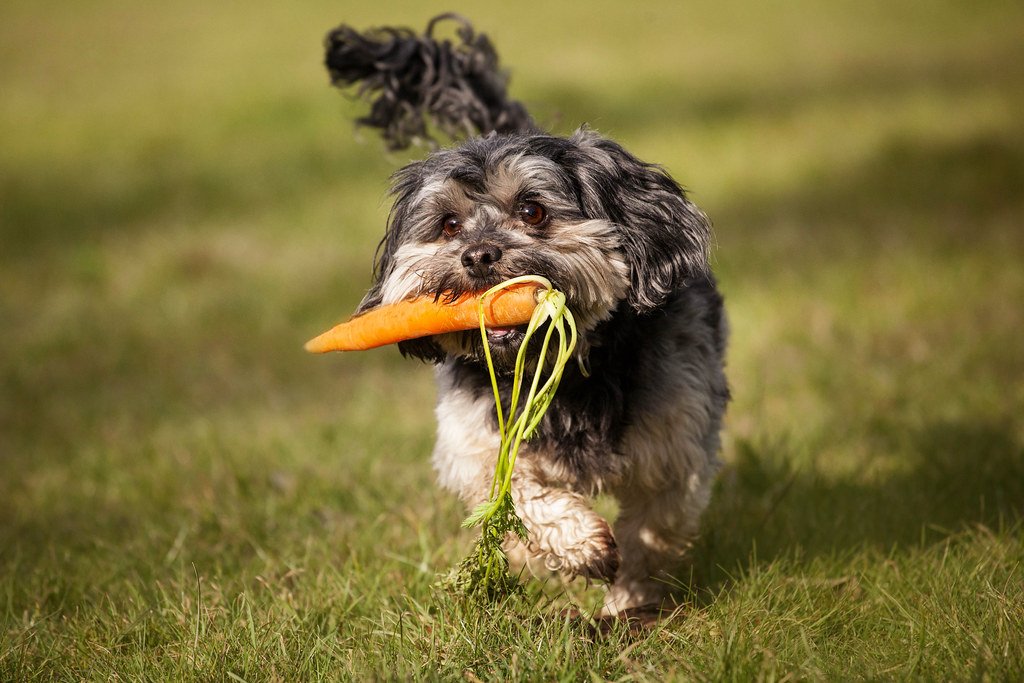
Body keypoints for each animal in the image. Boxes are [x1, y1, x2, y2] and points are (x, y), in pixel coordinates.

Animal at [323, 14, 733, 618]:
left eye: (532, 210)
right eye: (448, 225)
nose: (477, 255)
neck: (568, 373)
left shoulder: (677, 444)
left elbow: (653, 530)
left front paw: (627, 603)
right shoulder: (473, 440)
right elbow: (515, 492)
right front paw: (582, 545)